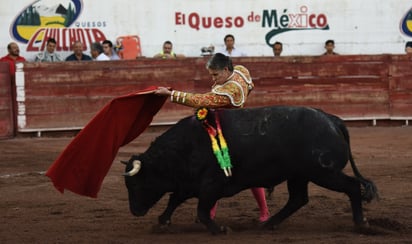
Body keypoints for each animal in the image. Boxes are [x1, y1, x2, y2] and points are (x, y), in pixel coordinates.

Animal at [121, 105, 376, 234]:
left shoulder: (211, 185)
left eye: (136, 184)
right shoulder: (189, 183)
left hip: (324, 173)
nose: (134, 211)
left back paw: (361, 223)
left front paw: (220, 229)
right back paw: (269, 223)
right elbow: (174, 199)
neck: (184, 147)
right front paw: (162, 222)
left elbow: (201, 210)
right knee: (298, 199)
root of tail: (332, 121)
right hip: (299, 176)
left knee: (352, 187)